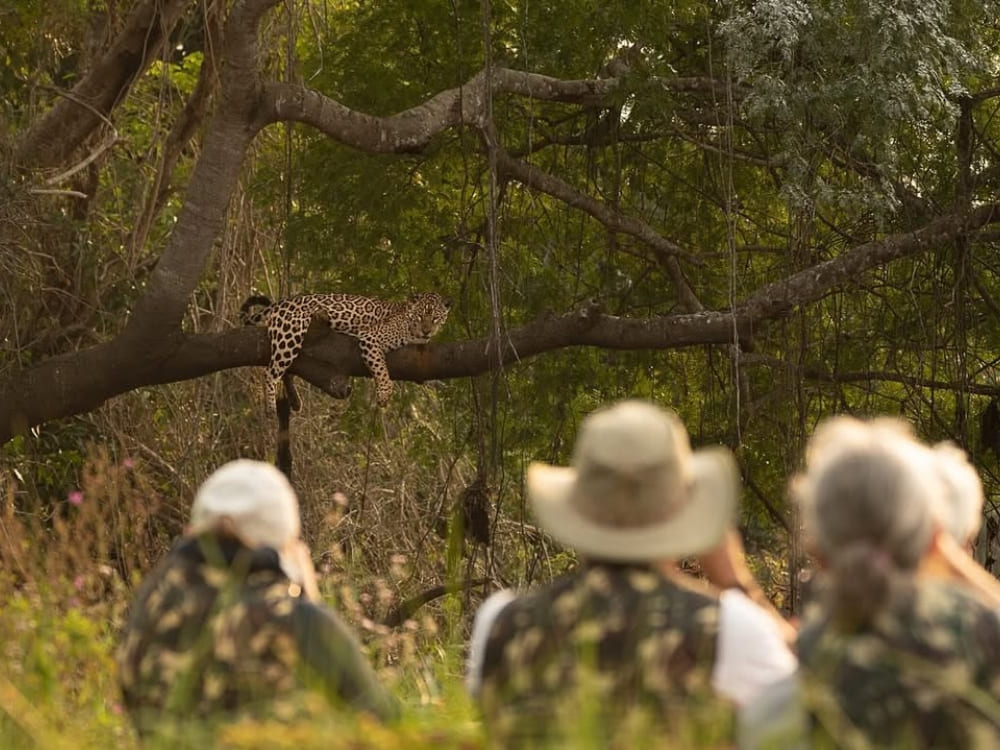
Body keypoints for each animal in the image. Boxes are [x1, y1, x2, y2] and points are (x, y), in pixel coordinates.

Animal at [240, 291, 452, 411]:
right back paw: (270, 408)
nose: (426, 331)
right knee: (270, 371)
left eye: (435, 318)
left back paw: (294, 401)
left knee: (285, 368)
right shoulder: (371, 338)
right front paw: (384, 395)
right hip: (291, 334)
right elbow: (382, 370)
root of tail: (282, 302)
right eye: (420, 316)